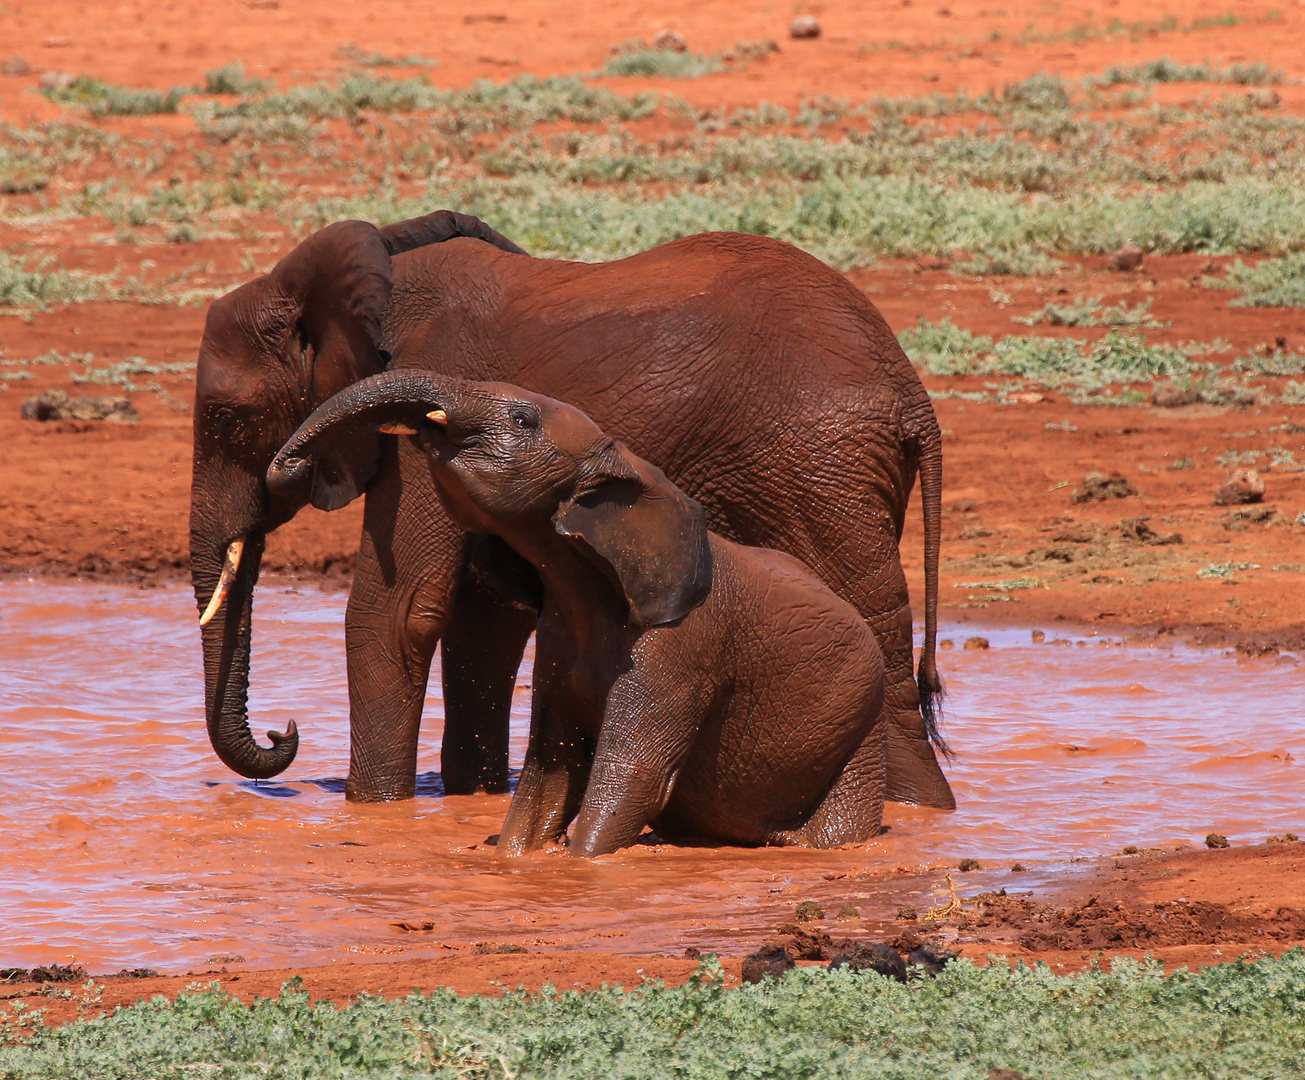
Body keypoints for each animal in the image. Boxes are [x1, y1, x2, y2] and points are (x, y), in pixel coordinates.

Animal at [271, 367, 892, 855]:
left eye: (524, 419)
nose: (286, 467)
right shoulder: (561, 630)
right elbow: (550, 775)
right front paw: (513, 862)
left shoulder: (680, 649)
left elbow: (632, 778)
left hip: (859, 724)